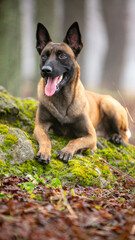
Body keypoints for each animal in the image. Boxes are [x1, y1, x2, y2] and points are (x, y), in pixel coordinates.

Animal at [34, 21, 130, 164]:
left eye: (62, 56)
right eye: (44, 56)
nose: (46, 70)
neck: (62, 99)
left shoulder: (90, 136)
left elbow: (75, 140)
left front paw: (66, 151)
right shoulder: (40, 126)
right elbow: (45, 138)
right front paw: (44, 152)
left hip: (108, 103)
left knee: (125, 135)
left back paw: (117, 137)